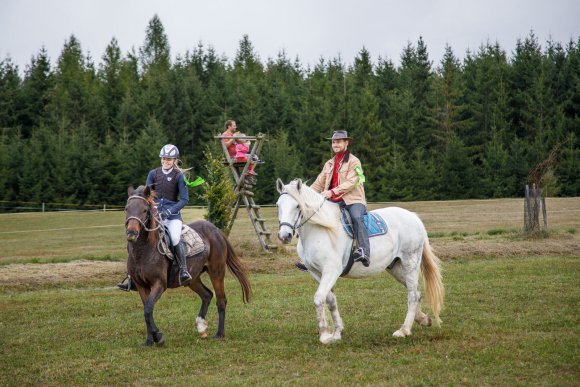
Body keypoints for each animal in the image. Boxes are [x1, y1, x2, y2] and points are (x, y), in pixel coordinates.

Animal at [124, 186, 251, 348]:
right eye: (127, 209)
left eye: (145, 210)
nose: (131, 233)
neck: (143, 251)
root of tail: (216, 230)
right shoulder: (141, 286)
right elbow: (147, 310)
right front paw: (149, 341)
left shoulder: (159, 284)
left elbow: (147, 309)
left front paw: (158, 336)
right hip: (192, 278)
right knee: (207, 295)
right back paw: (201, 326)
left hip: (216, 272)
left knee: (221, 300)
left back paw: (219, 334)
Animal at [276, 180, 444, 346]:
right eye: (278, 205)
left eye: (297, 206)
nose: (285, 235)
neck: (320, 230)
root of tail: (413, 217)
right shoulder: (315, 272)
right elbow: (330, 300)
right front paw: (337, 333)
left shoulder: (331, 270)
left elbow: (319, 299)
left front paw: (324, 335)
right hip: (395, 267)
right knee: (415, 291)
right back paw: (423, 319)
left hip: (410, 261)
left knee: (412, 295)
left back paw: (403, 330)